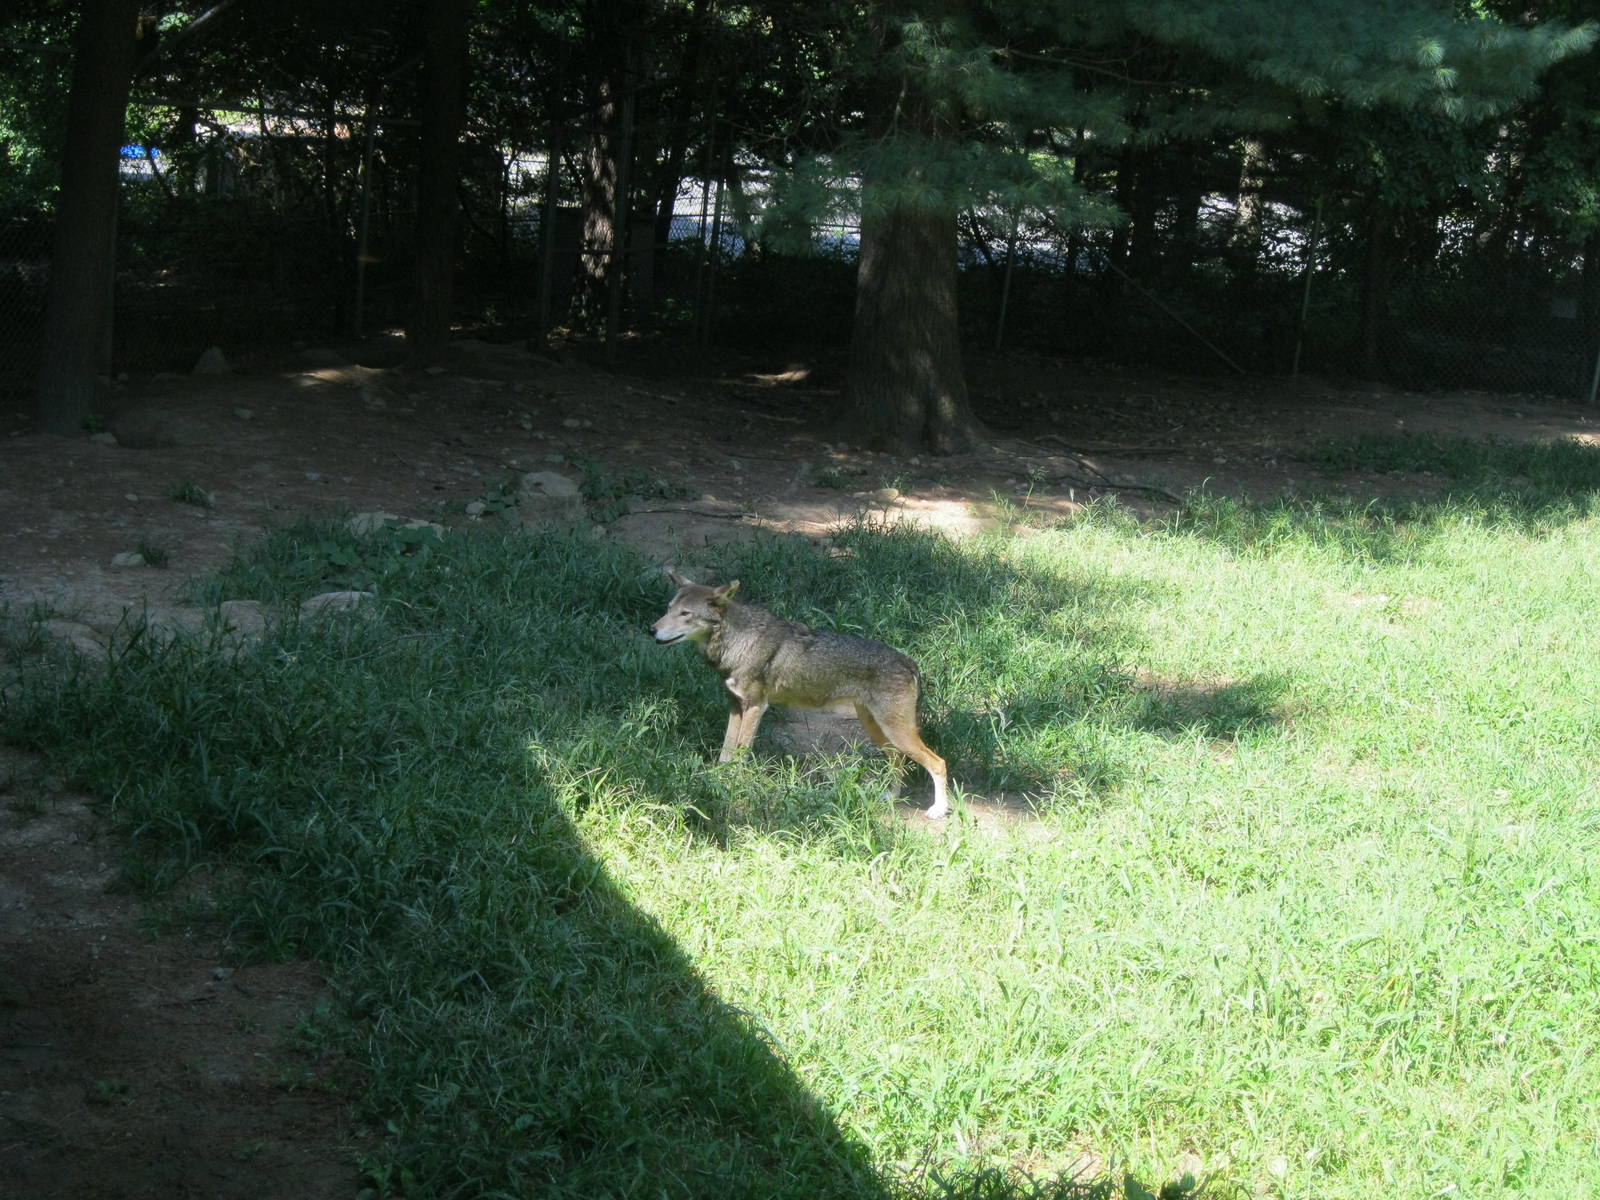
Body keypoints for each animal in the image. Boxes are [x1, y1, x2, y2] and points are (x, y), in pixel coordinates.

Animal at [650, 570, 951, 818]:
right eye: (668, 609)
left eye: (685, 614)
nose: (652, 629)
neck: (737, 642)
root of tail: (909, 662)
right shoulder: (735, 706)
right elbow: (726, 753)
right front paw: (718, 780)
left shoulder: (756, 707)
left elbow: (740, 754)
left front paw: (732, 784)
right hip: (880, 731)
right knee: (898, 759)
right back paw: (891, 797)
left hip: (897, 732)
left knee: (938, 762)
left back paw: (938, 810)